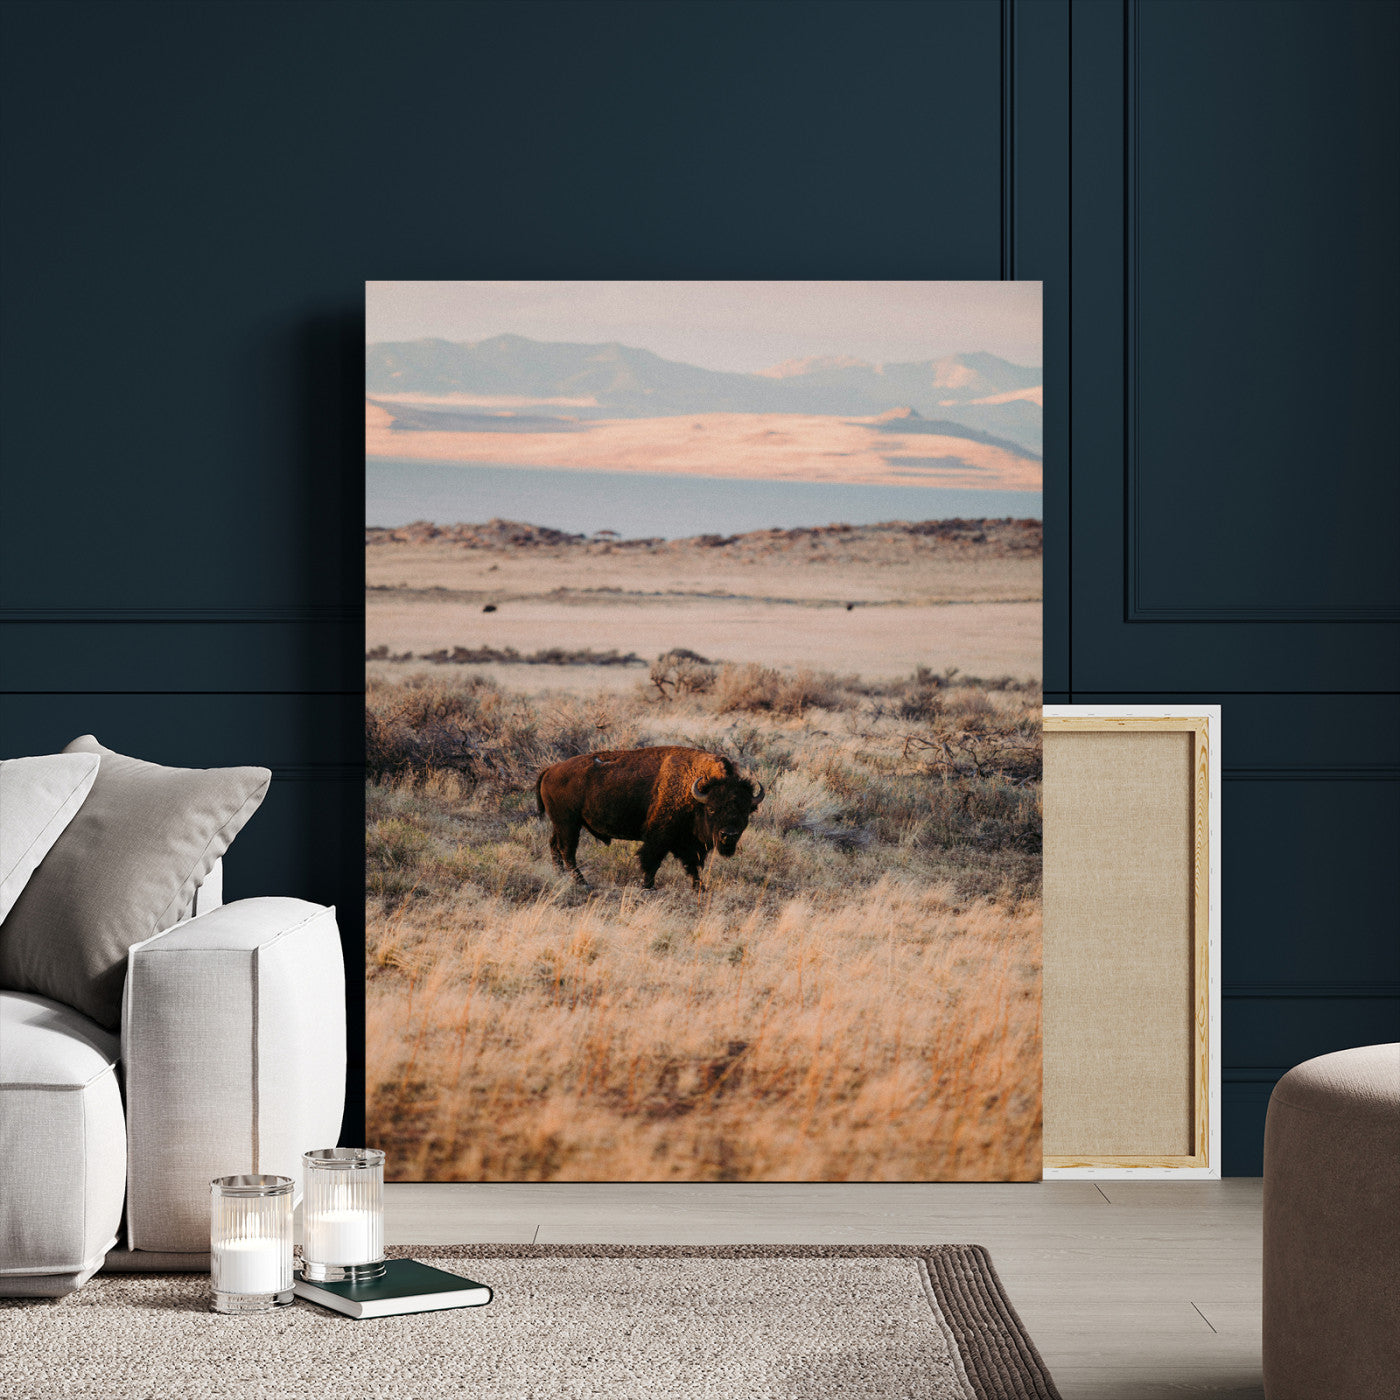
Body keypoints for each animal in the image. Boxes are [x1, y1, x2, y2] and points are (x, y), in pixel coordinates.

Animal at [535, 745, 765, 891]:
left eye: (745, 811)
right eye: (711, 809)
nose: (729, 835)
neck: (694, 792)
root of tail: (550, 769)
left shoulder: (688, 843)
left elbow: (692, 865)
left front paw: (700, 888)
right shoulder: (659, 837)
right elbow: (651, 861)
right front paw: (648, 886)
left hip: (562, 825)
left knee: (555, 846)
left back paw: (561, 876)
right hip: (568, 824)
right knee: (568, 850)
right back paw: (582, 883)